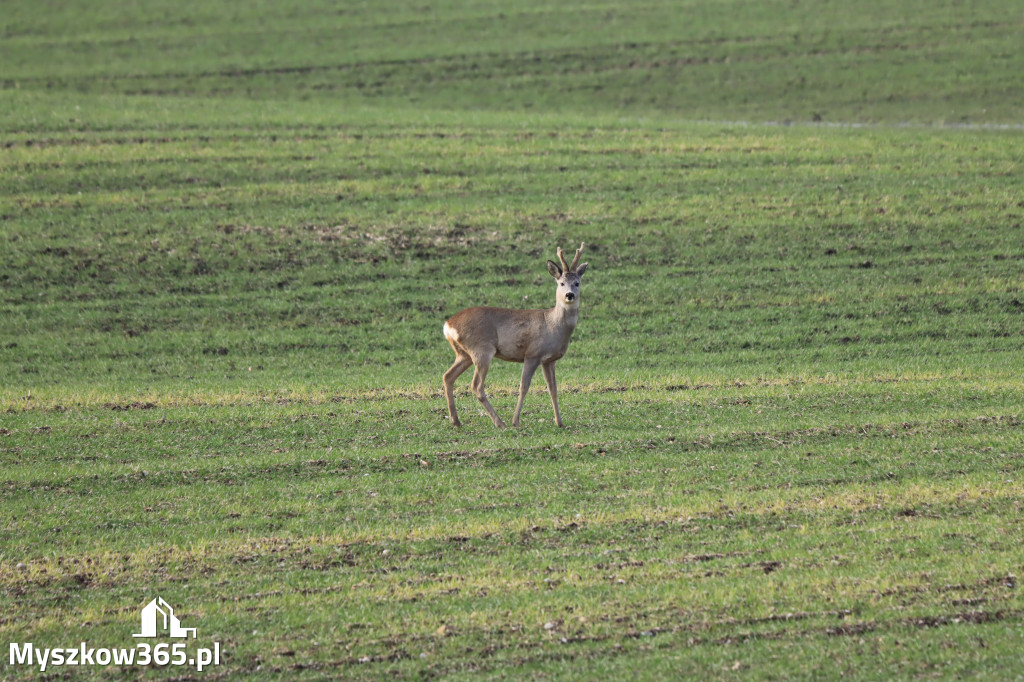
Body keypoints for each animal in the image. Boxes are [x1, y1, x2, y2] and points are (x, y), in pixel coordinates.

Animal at [442, 242, 593, 425]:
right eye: (561, 283)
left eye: (577, 283)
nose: (569, 295)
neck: (554, 326)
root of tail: (448, 325)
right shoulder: (533, 353)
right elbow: (524, 386)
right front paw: (516, 421)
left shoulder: (549, 360)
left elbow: (553, 389)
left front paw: (560, 423)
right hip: (481, 349)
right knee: (476, 385)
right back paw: (500, 423)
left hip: (464, 354)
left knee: (448, 376)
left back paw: (456, 420)